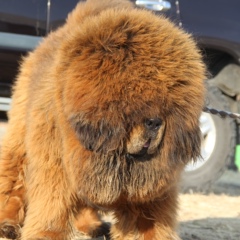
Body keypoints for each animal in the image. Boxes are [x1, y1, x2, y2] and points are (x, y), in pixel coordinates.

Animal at [0, 0, 205, 238]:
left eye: (168, 103)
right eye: (133, 96)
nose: (154, 122)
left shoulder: (151, 193)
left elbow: (149, 222)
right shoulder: (56, 163)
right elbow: (52, 206)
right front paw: (46, 233)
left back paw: (92, 226)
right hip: (20, 136)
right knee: (14, 179)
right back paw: (7, 224)